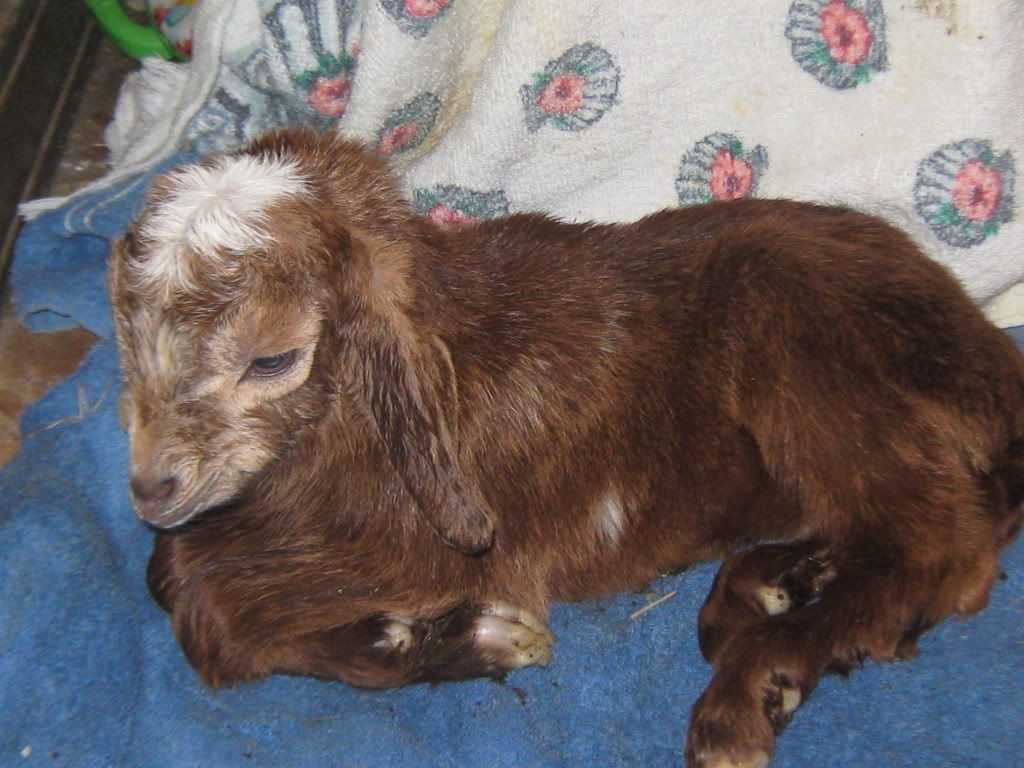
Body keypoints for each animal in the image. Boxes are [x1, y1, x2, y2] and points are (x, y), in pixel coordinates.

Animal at [109, 127, 1024, 768]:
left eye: (271, 360)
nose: (150, 490)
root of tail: (986, 359)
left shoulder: (425, 548)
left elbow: (208, 611)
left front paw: (477, 637)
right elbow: (169, 574)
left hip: (804, 343)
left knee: (943, 544)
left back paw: (754, 690)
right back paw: (770, 588)